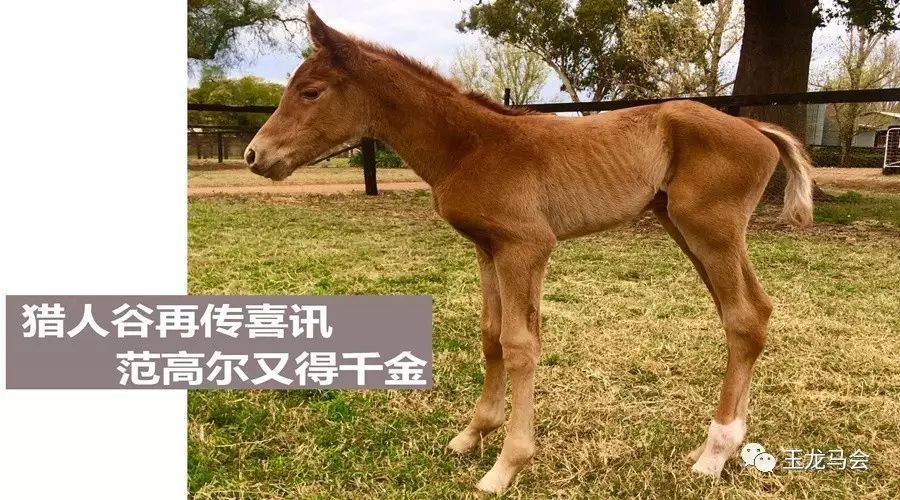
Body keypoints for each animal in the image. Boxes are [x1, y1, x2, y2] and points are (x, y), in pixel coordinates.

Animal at [245, 7, 814, 494]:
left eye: (311, 92)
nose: (255, 155)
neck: (472, 146)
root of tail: (754, 126)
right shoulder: (488, 249)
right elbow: (491, 335)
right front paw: (473, 434)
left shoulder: (526, 247)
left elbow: (520, 345)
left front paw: (506, 465)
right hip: (684, 228)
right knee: (751, 313)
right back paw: (726, 446)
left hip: (710, 229)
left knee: (743, 317)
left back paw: (713, 454)